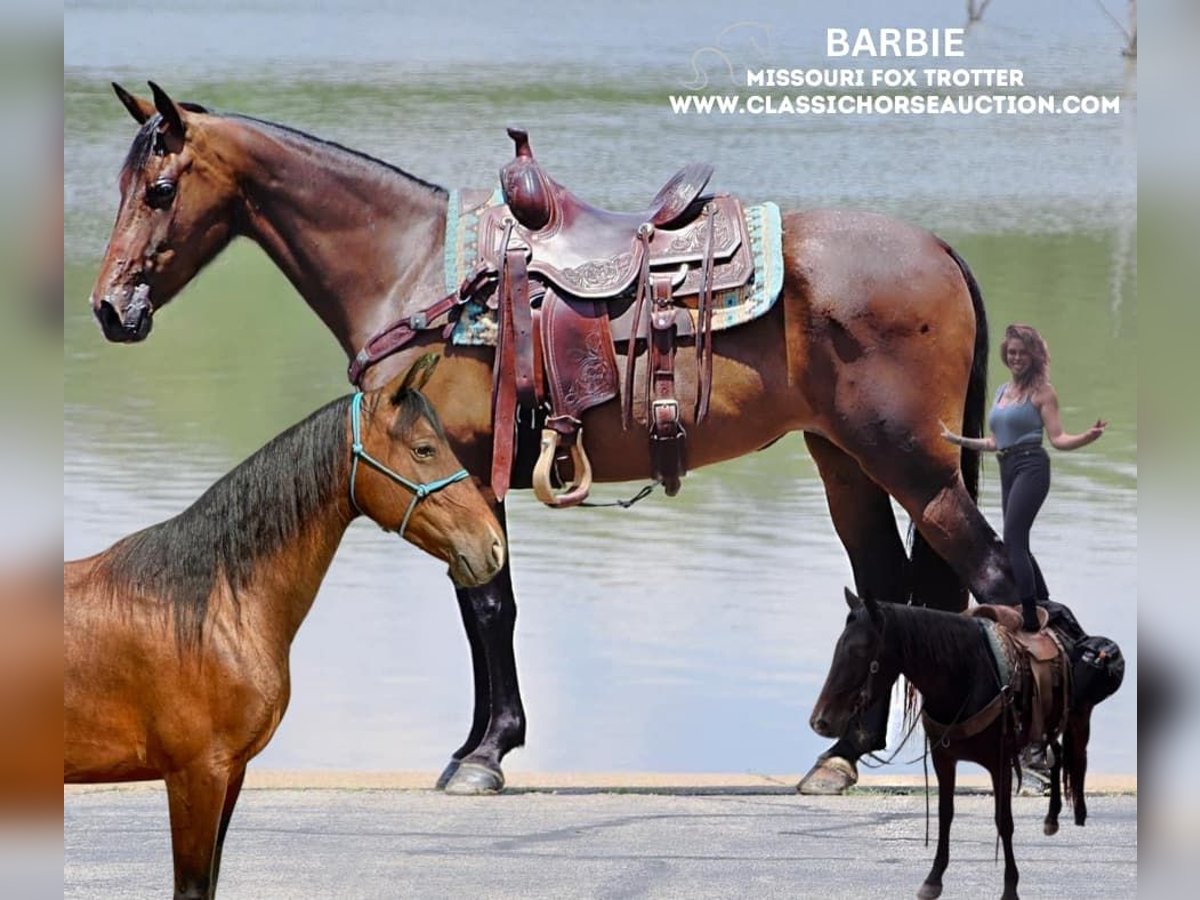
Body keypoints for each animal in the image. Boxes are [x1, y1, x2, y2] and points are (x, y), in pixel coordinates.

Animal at [84, 79, 1022, 796]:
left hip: (911, 463)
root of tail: (941, 248)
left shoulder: (463, 466)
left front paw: (487, 753)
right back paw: (841, 757)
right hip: (848, 464)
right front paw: (479, 743)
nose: (109, 309)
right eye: (122, 187)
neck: (412, 270)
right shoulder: (460, 481)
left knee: (995, 574)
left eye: (159, 191)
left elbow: (488, 603)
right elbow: (483, 601)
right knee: (886, 587)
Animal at [806, 592, 1099, 900]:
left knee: (1066, 755)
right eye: (839, 647)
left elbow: (1003, 821)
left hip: (1069, 719)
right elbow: (945, 814)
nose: (820, 721)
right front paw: (933, 879)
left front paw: (1010, 887)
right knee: (1058, 756)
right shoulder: (943, 758)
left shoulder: (999, 762)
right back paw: (1052, 819)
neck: (965, 676)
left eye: (860, 650)